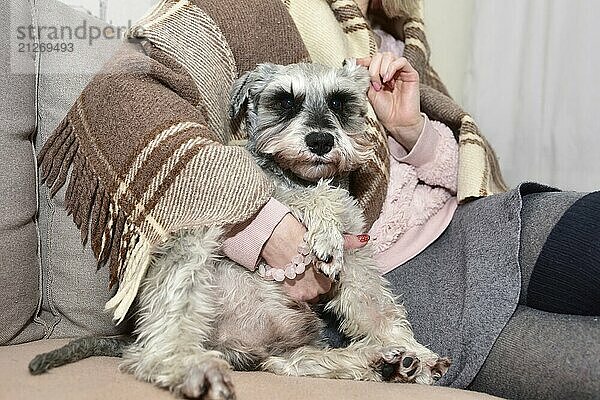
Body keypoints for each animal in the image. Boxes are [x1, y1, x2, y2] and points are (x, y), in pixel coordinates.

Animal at [28, 61, 450, 398]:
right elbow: (312, 198)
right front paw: (324, 231)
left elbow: (377, 308)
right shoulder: (259, 195)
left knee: (296, 363)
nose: (320, 141)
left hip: (288, 345)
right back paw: (190, 368)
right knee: (155, 347)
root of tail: (235, 346)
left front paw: (415, 351)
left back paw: (385, 361)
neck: (300, 175)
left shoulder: (359, 256)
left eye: (338, 102)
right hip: (191, 253)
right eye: (285, 102)